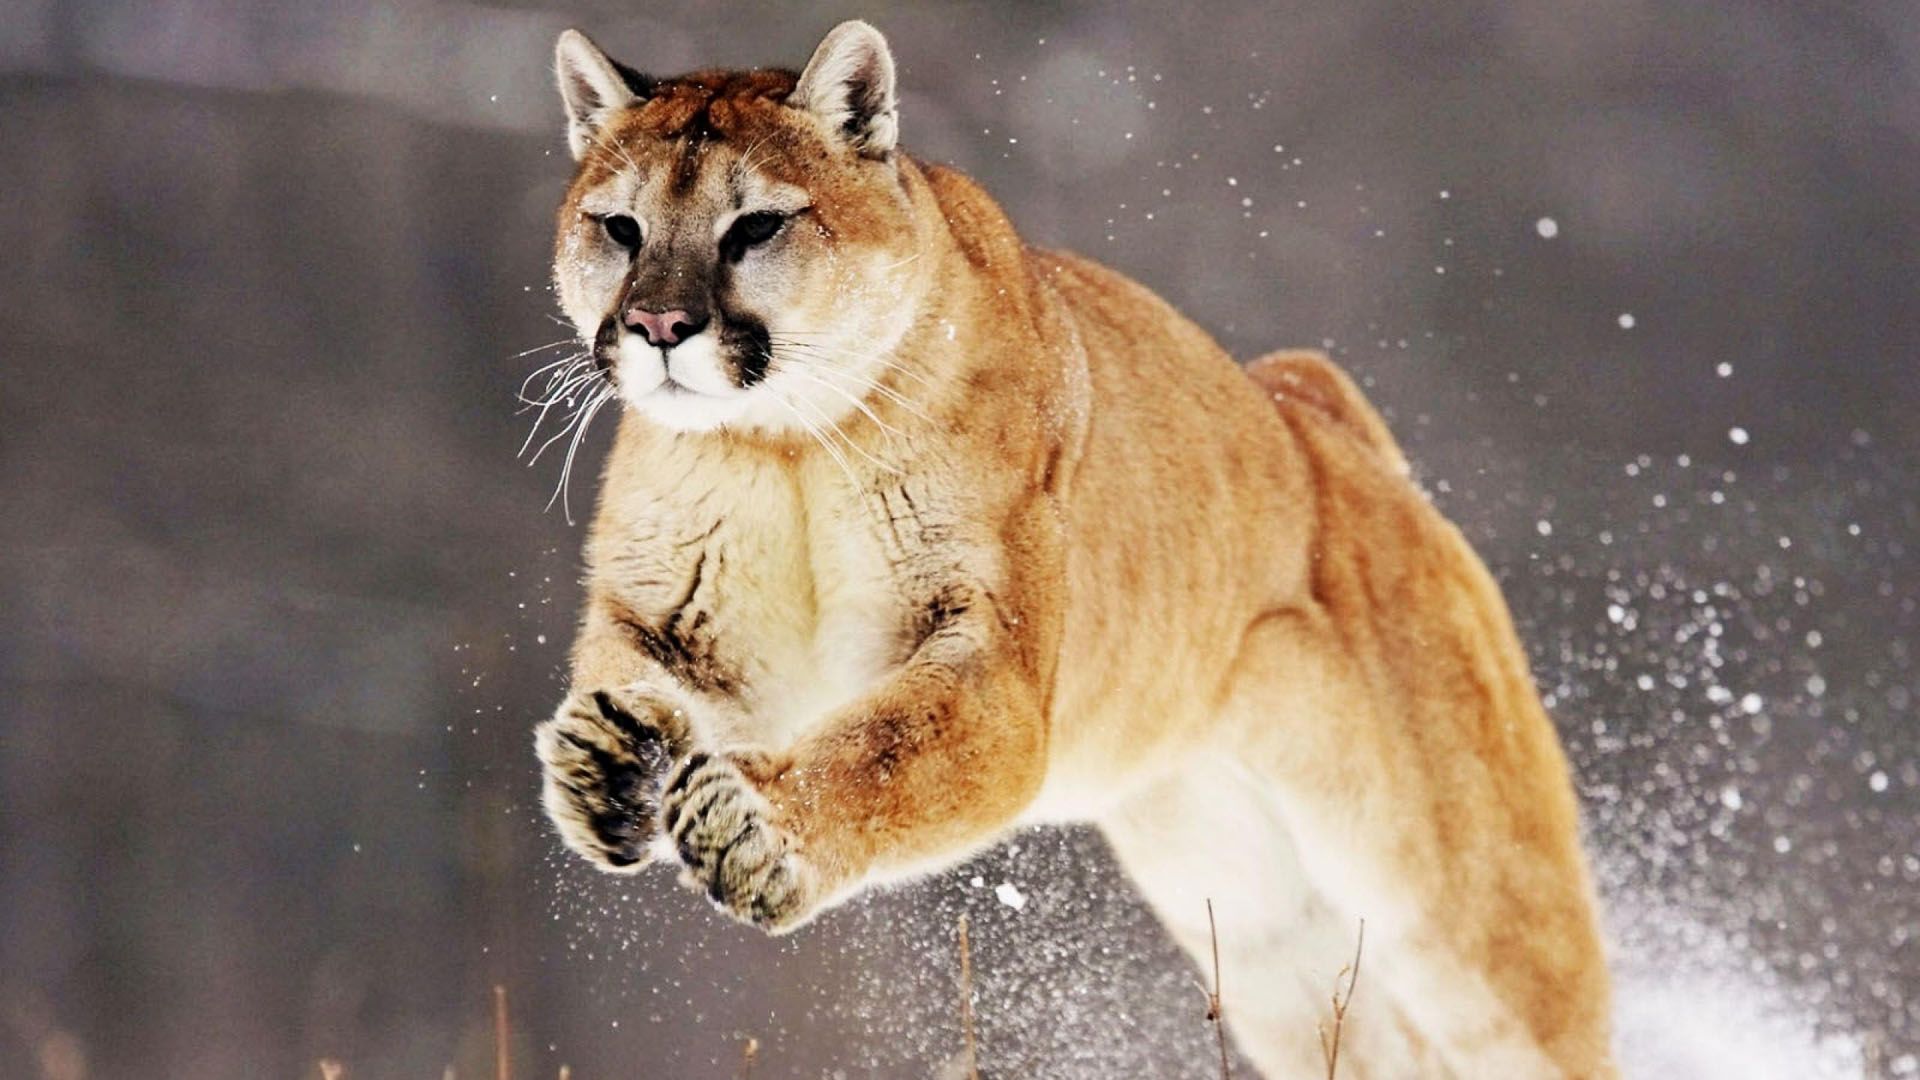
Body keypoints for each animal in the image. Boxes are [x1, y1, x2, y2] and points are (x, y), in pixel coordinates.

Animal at [529, 21, 1615, 1077]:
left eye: (755, 226)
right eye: (620, 226)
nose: (659, 324)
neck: (782, 442)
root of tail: (1318, 412)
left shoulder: (992, 669)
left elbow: (884, 748)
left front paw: (753, 829)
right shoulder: (687, 623)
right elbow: (628, 670)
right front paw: (606, 760)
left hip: (1467, 906)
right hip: (1265, 932)